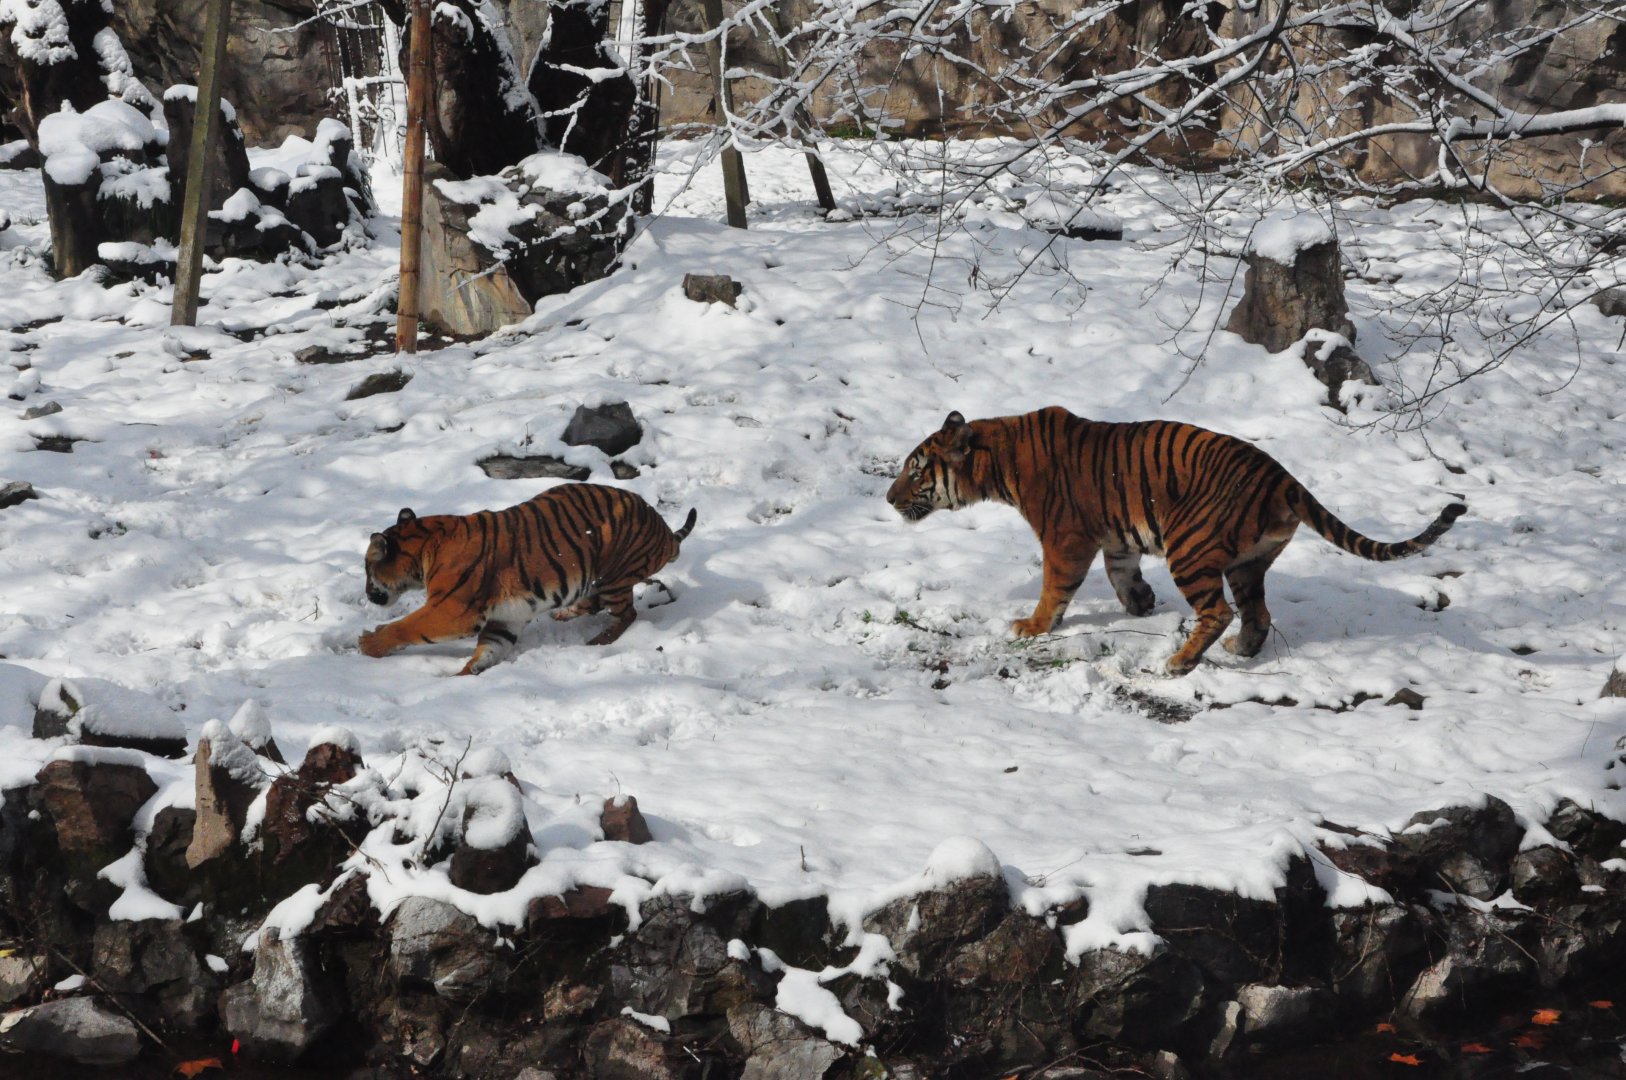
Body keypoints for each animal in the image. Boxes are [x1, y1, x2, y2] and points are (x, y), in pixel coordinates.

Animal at [359, 483, 697, 675]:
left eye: (366, 569)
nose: (366, 593)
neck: (424, 545)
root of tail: (665, 532)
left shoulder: (453, 609)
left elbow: (407, 625)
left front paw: (370, 642)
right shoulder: (505, 618)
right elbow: (489, 649)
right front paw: (467, 674)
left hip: (615, 573)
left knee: (626, 613)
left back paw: (599, 640)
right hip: (593, 578)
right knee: (594, 604)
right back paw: (564, 614)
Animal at [886, 407, 1465, 676]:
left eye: (915, 471)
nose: (889, 499)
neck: (996, 460)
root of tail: (1282, 476)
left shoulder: (1064, 538)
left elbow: (1055, 588)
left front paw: (1030, 626)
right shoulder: (1114, 538)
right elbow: (1121, 574)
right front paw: (1140, 604)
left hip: (1190, 546)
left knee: (1219, 612)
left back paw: (1180, 662)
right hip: (1247, 562)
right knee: (1257, 614)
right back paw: (1239, 651)